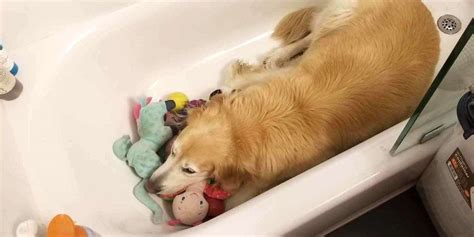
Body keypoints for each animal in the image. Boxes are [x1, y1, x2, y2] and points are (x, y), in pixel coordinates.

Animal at [148, 0, 440, 208]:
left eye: (189, 169)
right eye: (173, 151)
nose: (150, 186)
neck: (257, 125)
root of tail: (424, 8)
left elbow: (238, 198)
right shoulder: (287, 75)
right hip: (337, 19)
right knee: (309, 36)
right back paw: (279, 54)